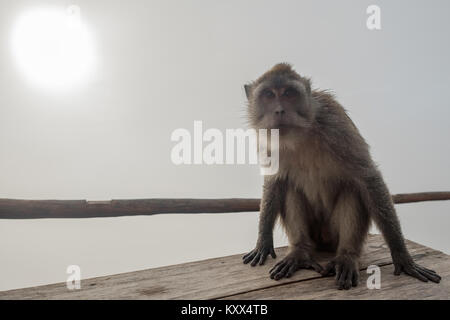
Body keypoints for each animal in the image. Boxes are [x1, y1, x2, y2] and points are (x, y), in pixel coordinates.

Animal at [244, 63, 442, 290]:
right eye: (268, 95)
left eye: (289, 94)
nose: (279, 110)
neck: (301, 135)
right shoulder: (270, 141)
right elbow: (275, 181)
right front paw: (263, 241)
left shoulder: (335, 123)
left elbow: (368, 177)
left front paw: (402, 256)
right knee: (290, 190)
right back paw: (300, 252)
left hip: (333, 236)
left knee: (353, 190)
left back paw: (346, 257)